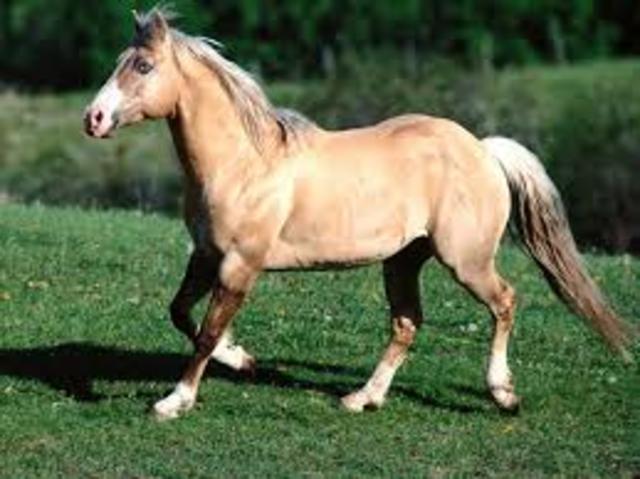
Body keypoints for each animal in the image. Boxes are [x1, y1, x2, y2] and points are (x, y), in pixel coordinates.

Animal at [84, 7, 633, 420]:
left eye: (143, 67)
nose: (94, 119)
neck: (244, 164)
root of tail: (482, 148)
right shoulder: (204, 255)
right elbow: (181, 313)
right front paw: (243, 361)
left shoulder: (240, 265)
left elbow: (205, 333)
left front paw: (174, 402)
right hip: (404, 260)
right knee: (407, 323)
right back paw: (362, 398)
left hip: (466, 261)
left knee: (504, 302)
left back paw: (503, 394)